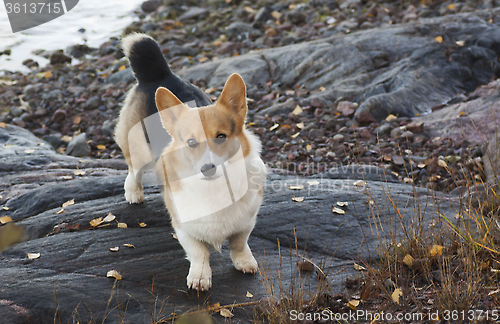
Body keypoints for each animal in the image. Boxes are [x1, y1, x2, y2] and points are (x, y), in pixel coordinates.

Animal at [115, 33, 268, 292]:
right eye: (191, 142)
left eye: (221, 136)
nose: (207, 169)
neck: (214, 188)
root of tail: (159, 74)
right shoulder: (183, 226)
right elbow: (199, 252)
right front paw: (200, 277)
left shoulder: (246, 220)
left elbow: (239, 242)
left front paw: (244, 262)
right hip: (139, 150)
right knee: (133, 170)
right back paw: (134, 192)